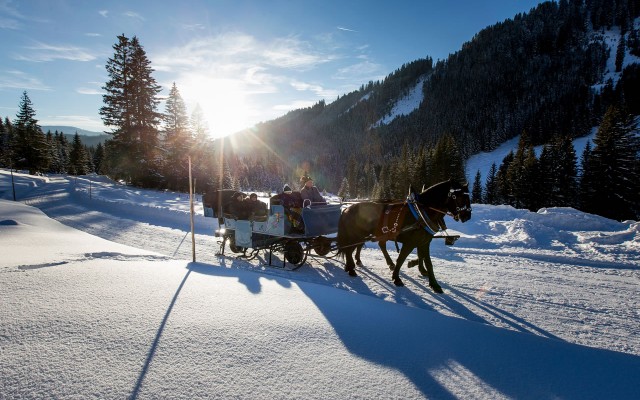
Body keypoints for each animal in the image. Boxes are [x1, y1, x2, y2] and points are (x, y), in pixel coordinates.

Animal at [338, 180, 472, 292]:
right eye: (460, 197)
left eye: (468, 197)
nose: (467, 216)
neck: (421, 213)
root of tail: (347, 209)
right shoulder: (410, 243)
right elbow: (401, 259)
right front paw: (397, 278)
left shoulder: (424, 243)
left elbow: (428, 262)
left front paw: (434, 284)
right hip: (355, 236)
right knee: (349, 250)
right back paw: (351, 269)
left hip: (364, 236)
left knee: (360, 247)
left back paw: (354, 265)